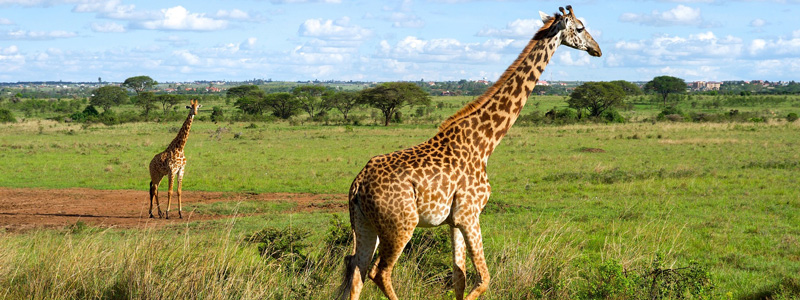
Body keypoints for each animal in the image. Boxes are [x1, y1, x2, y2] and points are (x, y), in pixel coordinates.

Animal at [340, 5, 604, 298]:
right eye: (580, 28)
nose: (597, 49)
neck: (485, 142)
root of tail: (358, 184)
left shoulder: (455, 220)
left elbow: (460, 277)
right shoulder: (470, 214)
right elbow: (484, 278)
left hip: (365, 224)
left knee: (357, 272)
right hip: (401, 225)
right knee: (380, 272)